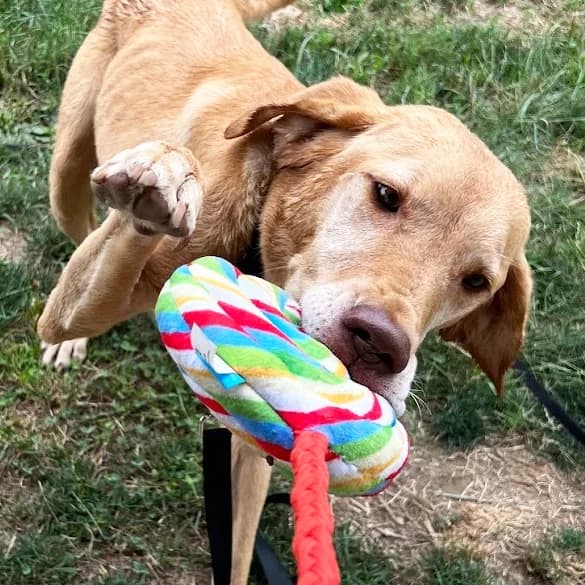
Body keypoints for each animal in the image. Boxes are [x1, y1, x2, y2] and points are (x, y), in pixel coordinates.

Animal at [35, 2, 528, 580]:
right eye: (386, 194)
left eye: (476, 282)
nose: (379, 345)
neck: (258, 239)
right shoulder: (75, 305)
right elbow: (138, 221)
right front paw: (166, 175)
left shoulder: (253, 449)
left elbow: (239, 549)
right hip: (65, 177)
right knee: (81, 223)